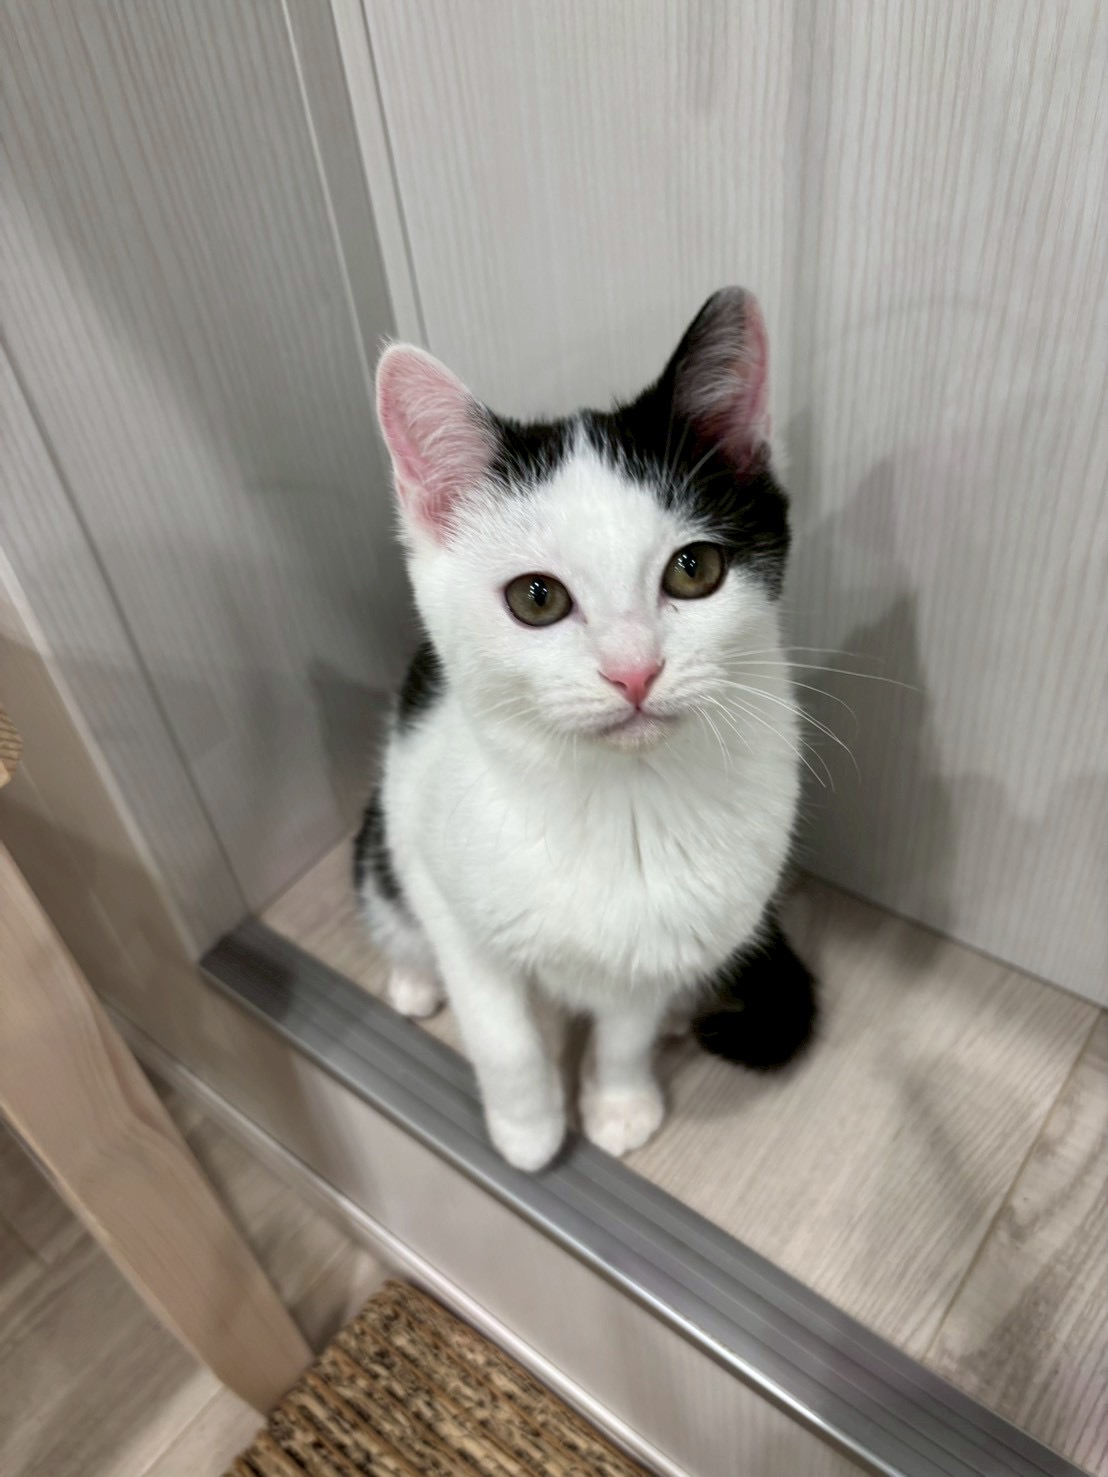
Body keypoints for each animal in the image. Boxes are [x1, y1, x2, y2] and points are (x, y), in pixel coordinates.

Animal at [356, 287, 817, 1172]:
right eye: (536, 597)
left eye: (694, 569)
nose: (634, 670)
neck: (622, 799)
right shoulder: (440, 871)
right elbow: (500, 1031)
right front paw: (529, 1133)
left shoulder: (669, 933)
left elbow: (627, 1024)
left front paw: (619, 1102)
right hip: (383, 831)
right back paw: (413, 980)